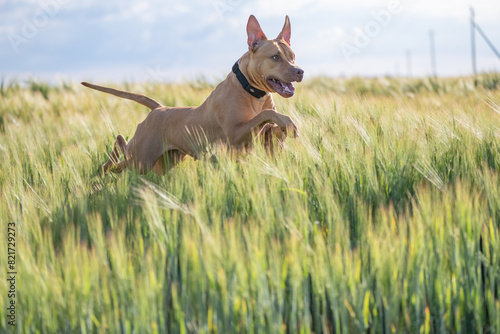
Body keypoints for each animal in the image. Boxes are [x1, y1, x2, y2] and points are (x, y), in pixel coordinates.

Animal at [82, 14, 302, 174]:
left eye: (292, 57)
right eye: (275, 57)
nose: (300, 71)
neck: (253, 92)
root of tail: (159, 108)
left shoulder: (263, 139)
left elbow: (271, 124)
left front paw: (286, 126)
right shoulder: (235, 133)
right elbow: (266, 114)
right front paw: (288, 121)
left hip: (162, 163)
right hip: (141, 160)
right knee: (119, 150)